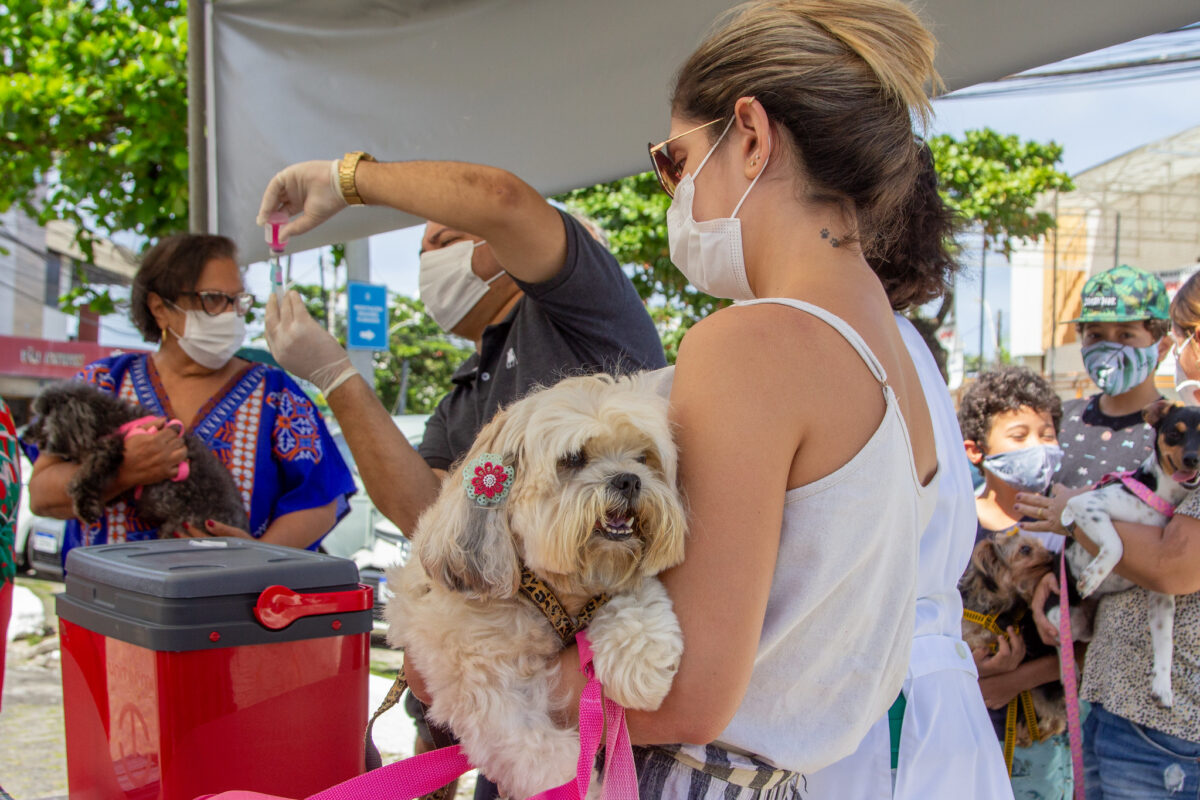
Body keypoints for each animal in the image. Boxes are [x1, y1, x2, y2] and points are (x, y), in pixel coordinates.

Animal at [22, 383, 248, 537]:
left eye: (43, 418)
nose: (24, 435)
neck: (106, 421)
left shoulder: (109, 448)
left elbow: (86, 476)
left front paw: (85, 507)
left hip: (183, 525)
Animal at [384, 376, 686, 800]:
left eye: (643, 458)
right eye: (573, 459)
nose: (628, 479)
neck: (551, 592)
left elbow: (633, 594)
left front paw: (641, 664)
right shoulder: (484, 686)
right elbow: (540, 754)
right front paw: (584, 787)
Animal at [960, 532, 1065, 743]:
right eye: (1025, 549)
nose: (1052, 553)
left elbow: (979, 639)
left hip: (1041, 689)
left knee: (1057, 720)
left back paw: (1027, 734)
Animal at [1060, 400, 1200, 705]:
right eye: (1174, 433)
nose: (1193, 459)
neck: (1160, 495)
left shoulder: (1160, 594)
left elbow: (1165, 640)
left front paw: (1162, 684)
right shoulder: (1085, 504)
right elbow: (1116, 544)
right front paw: (1093, 577)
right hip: (1061, 615)